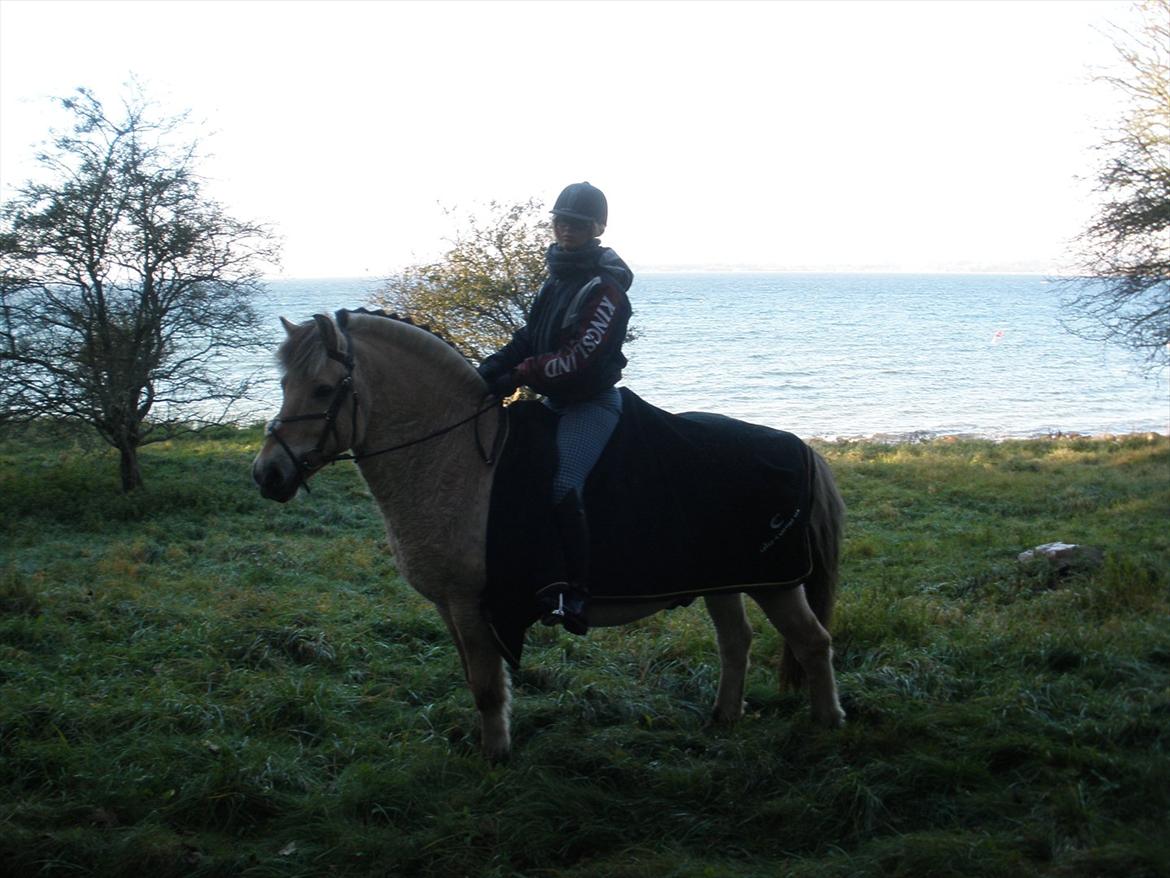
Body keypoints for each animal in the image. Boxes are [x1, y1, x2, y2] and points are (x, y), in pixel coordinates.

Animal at [251, 313, 847, 758]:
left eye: (323, 388)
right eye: (284, 384)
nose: (268, 474)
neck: (458, 461)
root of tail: (798, 445)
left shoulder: (472, 604)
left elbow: (488, 687)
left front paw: (496, 758)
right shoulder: (449, 606)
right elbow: (474, 679)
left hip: (776, 582)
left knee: (813, 642)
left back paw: (826, 726)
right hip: (723, 579)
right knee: (736, 643)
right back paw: (723, 719)